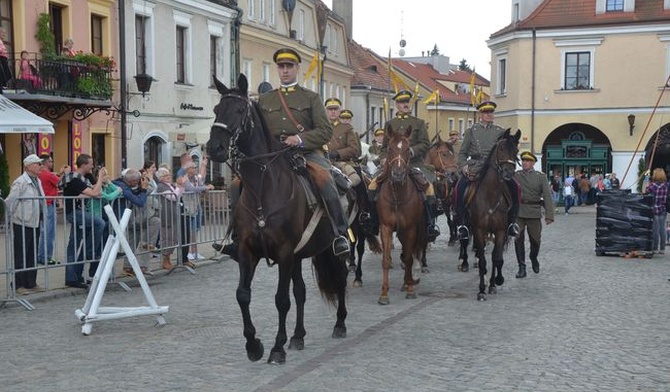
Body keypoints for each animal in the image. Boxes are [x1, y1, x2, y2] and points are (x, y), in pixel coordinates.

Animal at [207, 74, 350, 364]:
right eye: (217, 109)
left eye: (239, 110)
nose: (214, 148)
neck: (264, 188)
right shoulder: (248, 250)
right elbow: (243, 295)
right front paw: (253, 344)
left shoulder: (284, 251)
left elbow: (281, 299)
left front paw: (276, 347)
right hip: (298, 256)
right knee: (301, 292)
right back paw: (298, 336)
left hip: (330, 248)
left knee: (340, 277)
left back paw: (340, 324)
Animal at [376, 125, 428, 304]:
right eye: (389, 148)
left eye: (407, 149)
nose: (397, 175)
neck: (397, 196)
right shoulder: (385, 227)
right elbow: (385, 260)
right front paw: (384, 294)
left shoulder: (411, 228)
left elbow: (409, 258)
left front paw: (410, 289)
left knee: (412, 252)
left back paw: (408, 282)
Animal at [462, 130, 524, 302]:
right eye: (501, 149)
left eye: (516, 150)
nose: (508, 173)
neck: (490, 195)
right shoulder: (479, 230)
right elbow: (483, 260)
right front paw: (481, 290)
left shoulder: (501, 231)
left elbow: (497, 259)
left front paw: (496, 282)